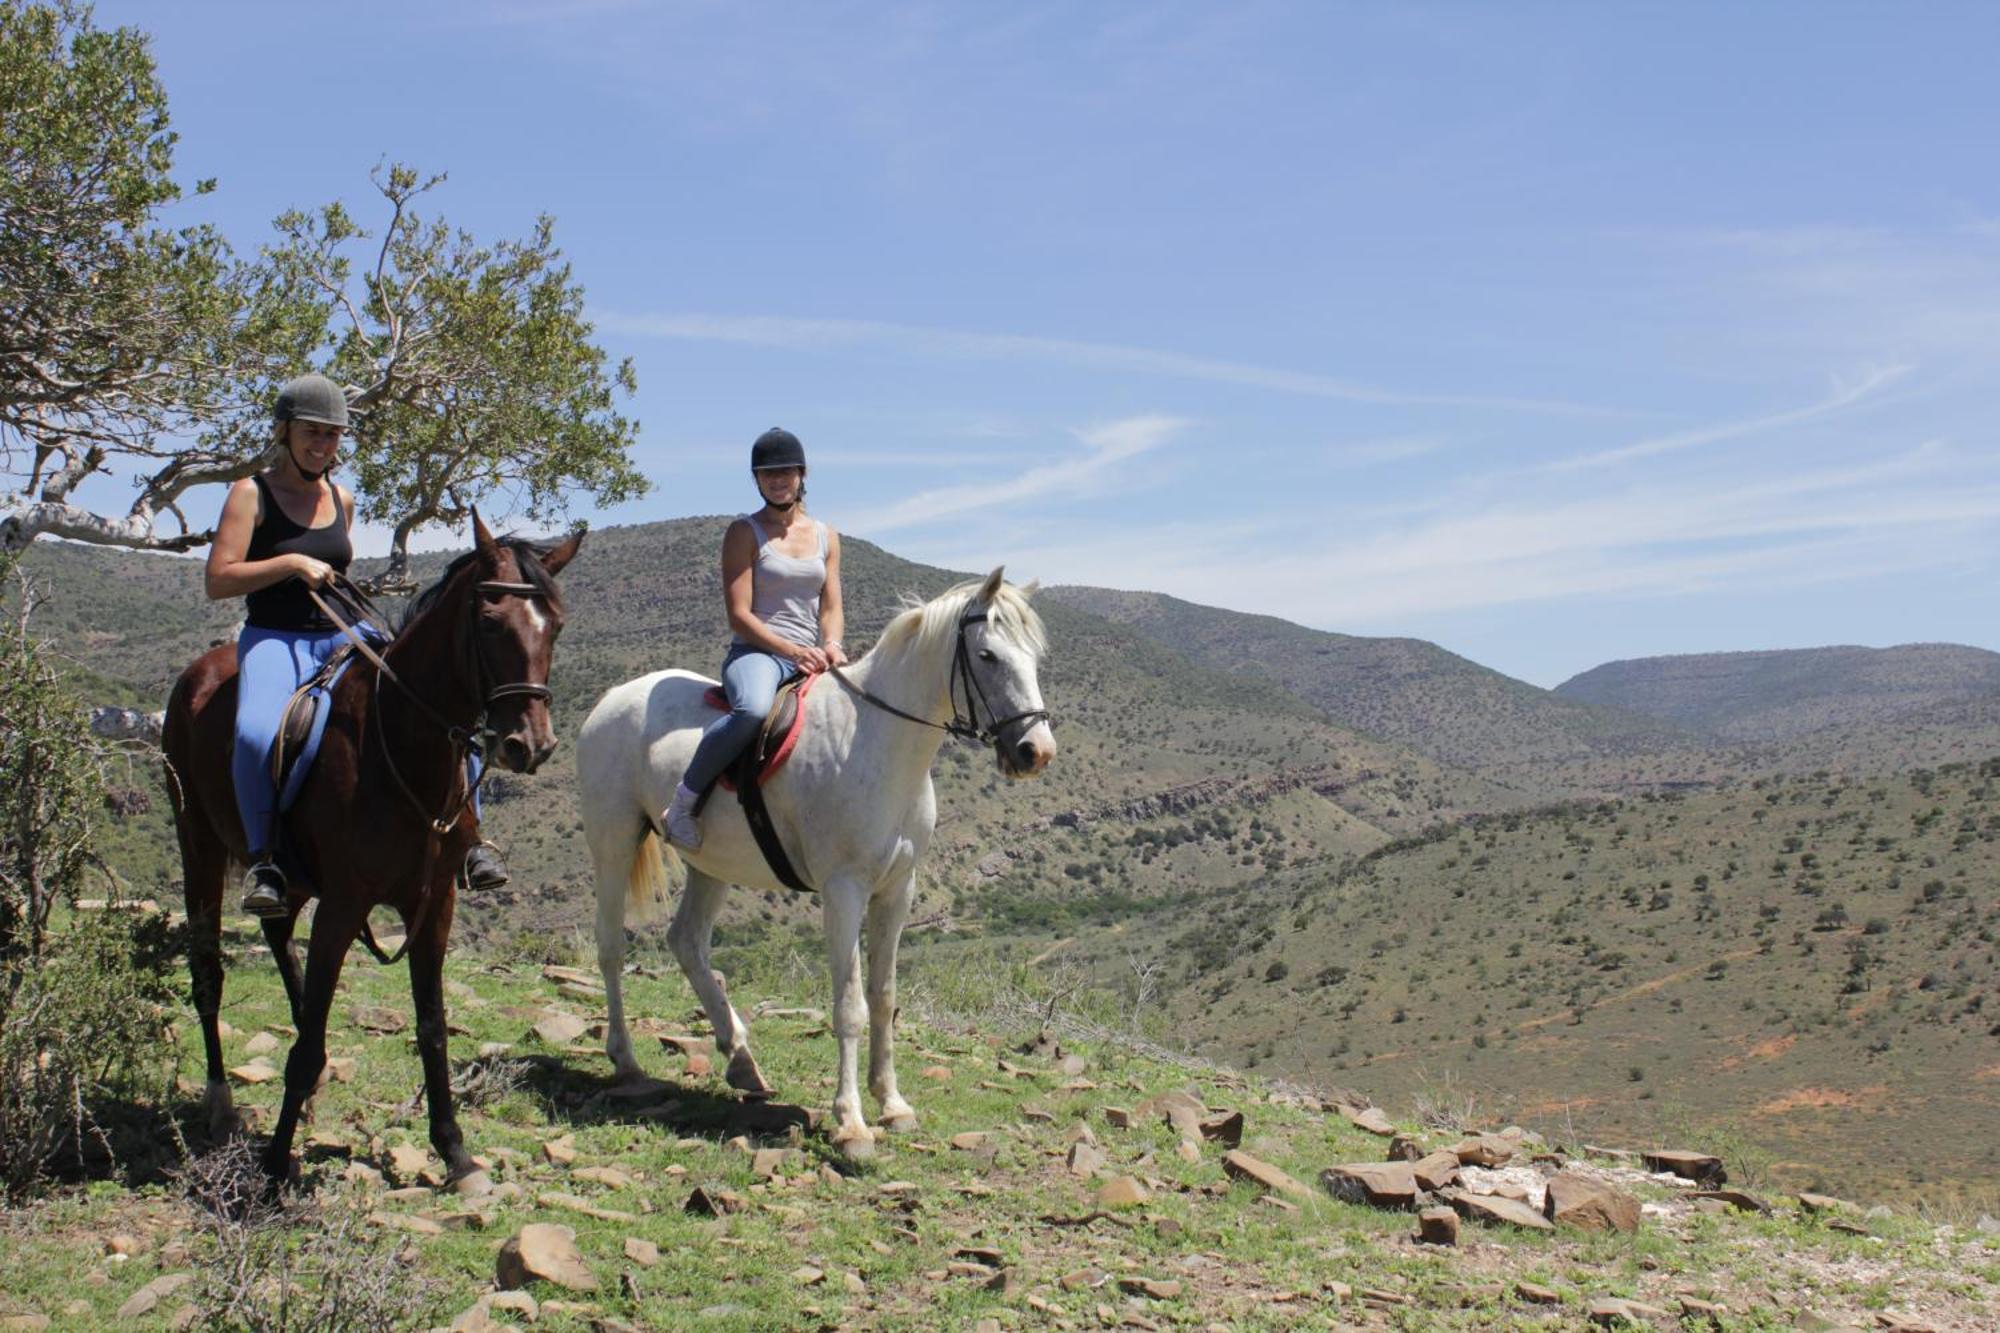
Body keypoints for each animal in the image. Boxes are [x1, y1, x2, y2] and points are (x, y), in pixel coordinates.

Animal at [165, 512, 580, 1184]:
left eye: (557, 624)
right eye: (489, 620)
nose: (529, 745)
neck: (402, 747)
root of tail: (198, 675)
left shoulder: (434, 905)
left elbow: (432, 1026)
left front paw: (454, 1152)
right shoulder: (344, 905)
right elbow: (306, 1042)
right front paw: (274, 1168)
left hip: (292, 876)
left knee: (279, 935)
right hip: (197, 844)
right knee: (209, 972)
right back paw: (221, 1102)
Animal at [576, 560, 1056, 1152]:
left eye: (1034, 656)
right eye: (988, 656)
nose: (1036, 752)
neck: (879, 740)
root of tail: (612, 698)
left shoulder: (898, 889)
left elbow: (883, 996)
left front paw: (892, 1103)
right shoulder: (843, 890)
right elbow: (849, 1005)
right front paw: (850, 1121)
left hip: (709, 865)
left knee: (687, 942)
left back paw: (741, 1061)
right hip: (613, 841)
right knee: (611, 946)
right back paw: (625, 1059)